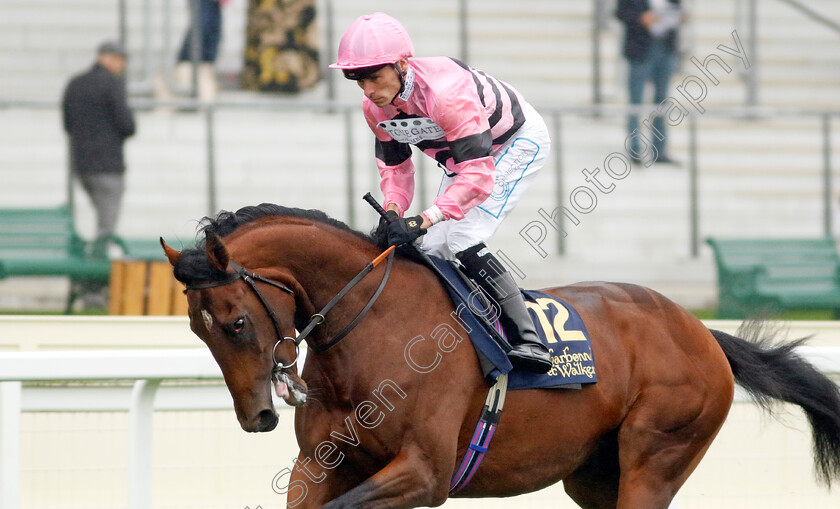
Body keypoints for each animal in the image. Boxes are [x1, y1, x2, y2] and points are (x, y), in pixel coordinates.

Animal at [162, 203, 840, 508]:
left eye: (236, 322)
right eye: (198, 330)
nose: (257, 416)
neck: (372, 334)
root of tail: (702, 332)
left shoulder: (426, 473)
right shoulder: (319, 463)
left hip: (658, 455)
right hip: (595, 476)